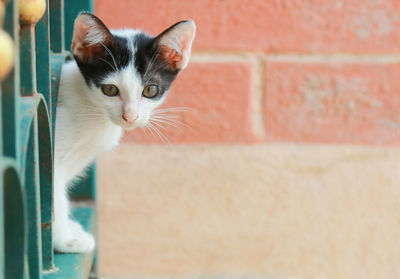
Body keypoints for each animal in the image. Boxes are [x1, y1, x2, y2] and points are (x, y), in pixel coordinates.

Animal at [54, 13, 196, 254]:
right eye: (110, 89)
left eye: (150, 90)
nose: (130, 116)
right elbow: (52, 197)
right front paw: (65, 241)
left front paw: (69, 231)